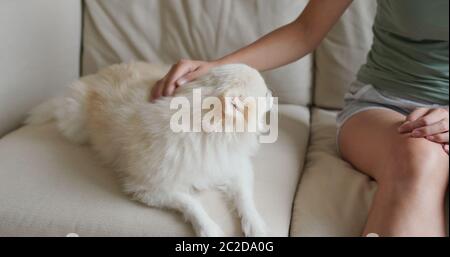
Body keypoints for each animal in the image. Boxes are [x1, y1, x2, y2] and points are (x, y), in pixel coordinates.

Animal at [26, 61, 272, 236]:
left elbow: (244, 199)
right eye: (265, 93)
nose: (272, 95)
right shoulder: (148, 189)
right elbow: (190, 203)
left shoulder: (235, 167)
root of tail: (96, 74)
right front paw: (208, 228)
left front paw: (257, 227)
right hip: (76, 126)